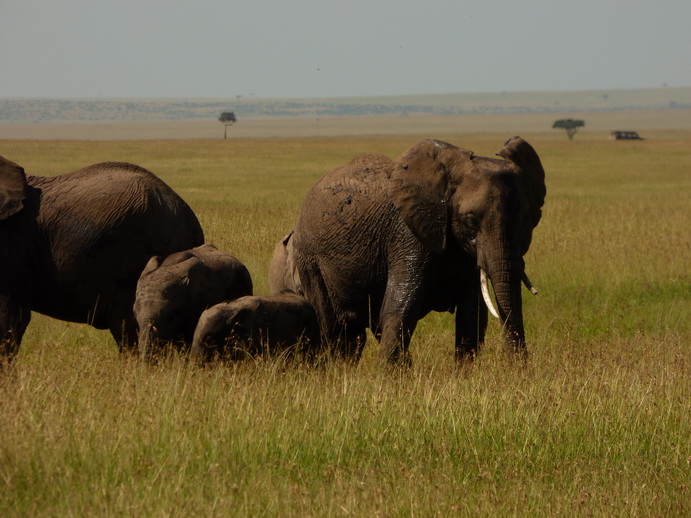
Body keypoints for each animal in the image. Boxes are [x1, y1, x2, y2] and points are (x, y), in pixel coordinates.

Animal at [270, 138, 548, 366]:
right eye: (470, 220)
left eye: (524, 219)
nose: (519, 370)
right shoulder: (407, 233)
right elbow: (402, 306)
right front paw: (387, 380)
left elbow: (473, 313)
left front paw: (464, 376)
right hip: (310, 259)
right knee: (335, 325)